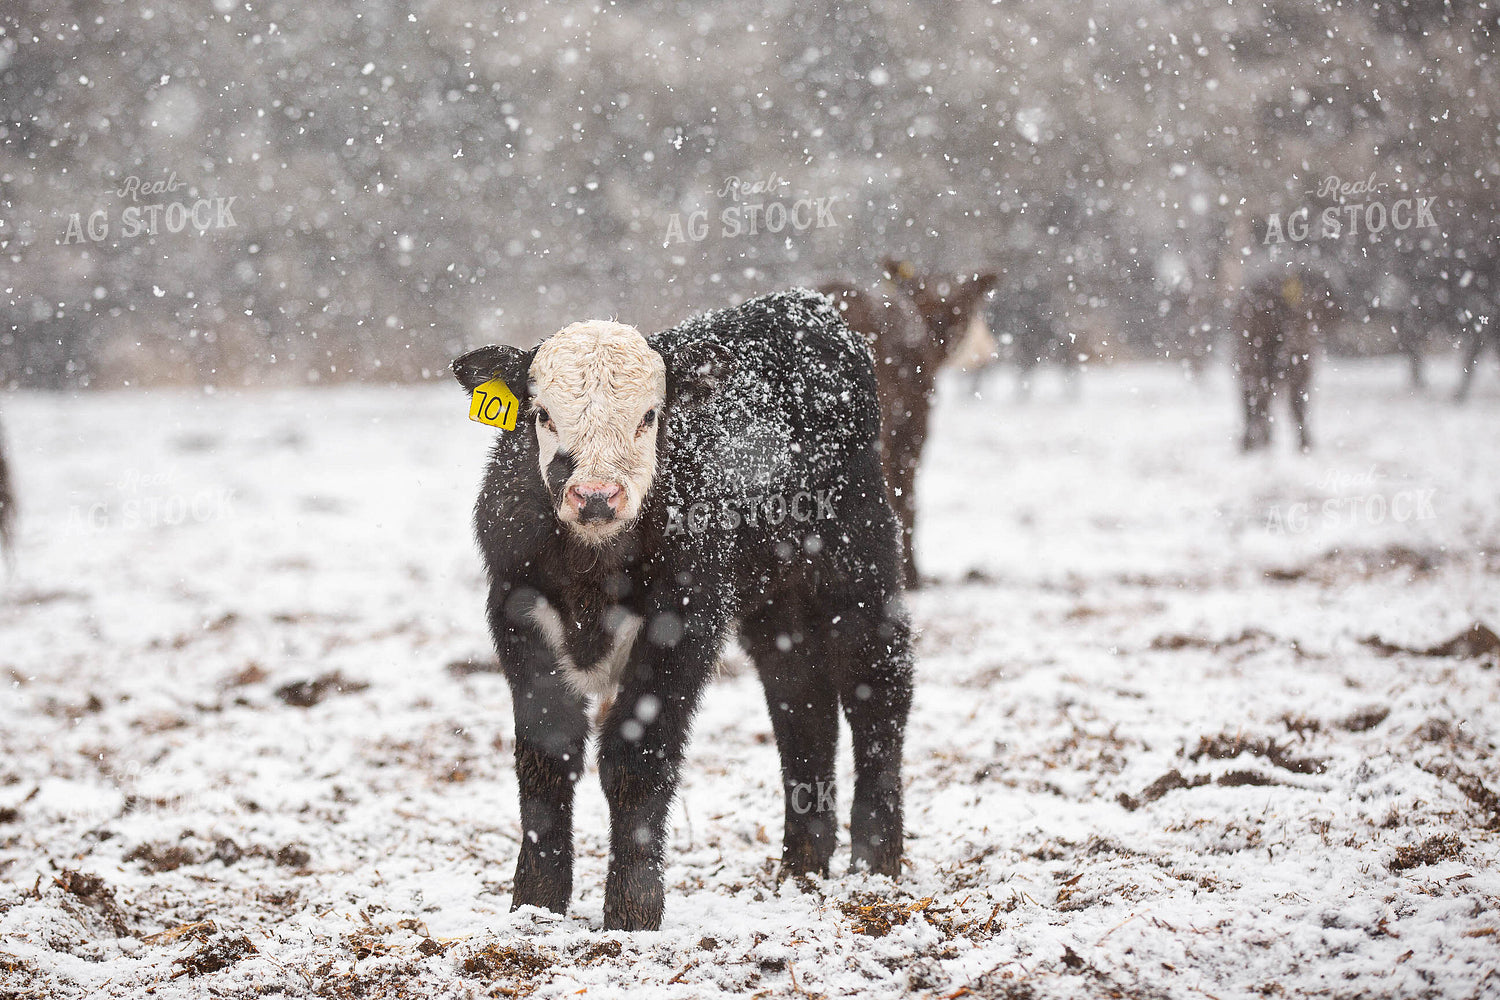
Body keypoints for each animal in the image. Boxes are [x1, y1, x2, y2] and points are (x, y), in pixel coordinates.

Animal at [452, 289, 913, 931]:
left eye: (649, 416)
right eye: (542, 415)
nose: (596, 496)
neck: (594, 570)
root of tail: (806, 304)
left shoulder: (685, 619)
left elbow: (636, 756)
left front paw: (632, 910)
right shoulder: (516, 611)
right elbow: (546, 753)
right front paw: (536, 905)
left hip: (861, 567)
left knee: (879, 695)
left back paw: (875, 865)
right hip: (778, 608)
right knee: (803, 707)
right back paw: (801, 869)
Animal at [1233, 270, 1342, 452]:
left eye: (1321, 306)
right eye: (1304, 304)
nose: (1303, 336)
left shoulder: (1301, 368)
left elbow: (1297, 403)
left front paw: (1304, 443)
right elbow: (1260, 400)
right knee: (1252, 401)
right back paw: (1252, 441)